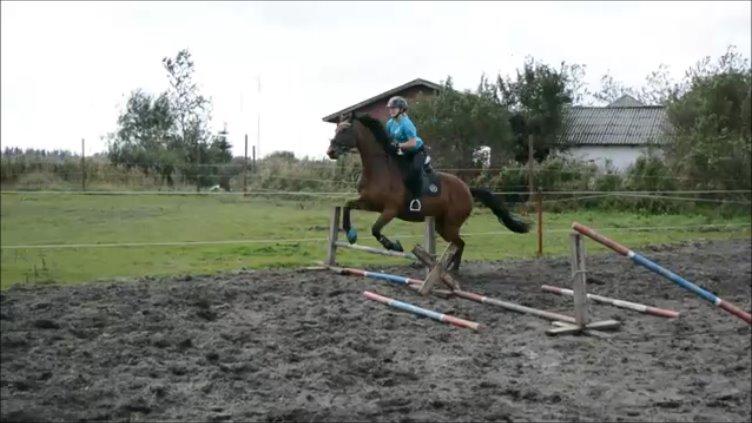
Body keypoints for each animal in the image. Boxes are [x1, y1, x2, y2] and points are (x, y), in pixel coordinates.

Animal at [324, 114, 528, 270]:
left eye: (344, 130)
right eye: (336, 130)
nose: (330, 151)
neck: (379, 168)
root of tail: (467, 189)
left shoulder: (390, 210)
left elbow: (375, 229)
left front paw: (394, 245)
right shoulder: (369, 202)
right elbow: (347, 206)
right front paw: (351, 234)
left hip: (451, 224)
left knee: (460, 244)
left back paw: (451, 271)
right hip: (441, 225)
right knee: (457, 244)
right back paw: (447, 269)